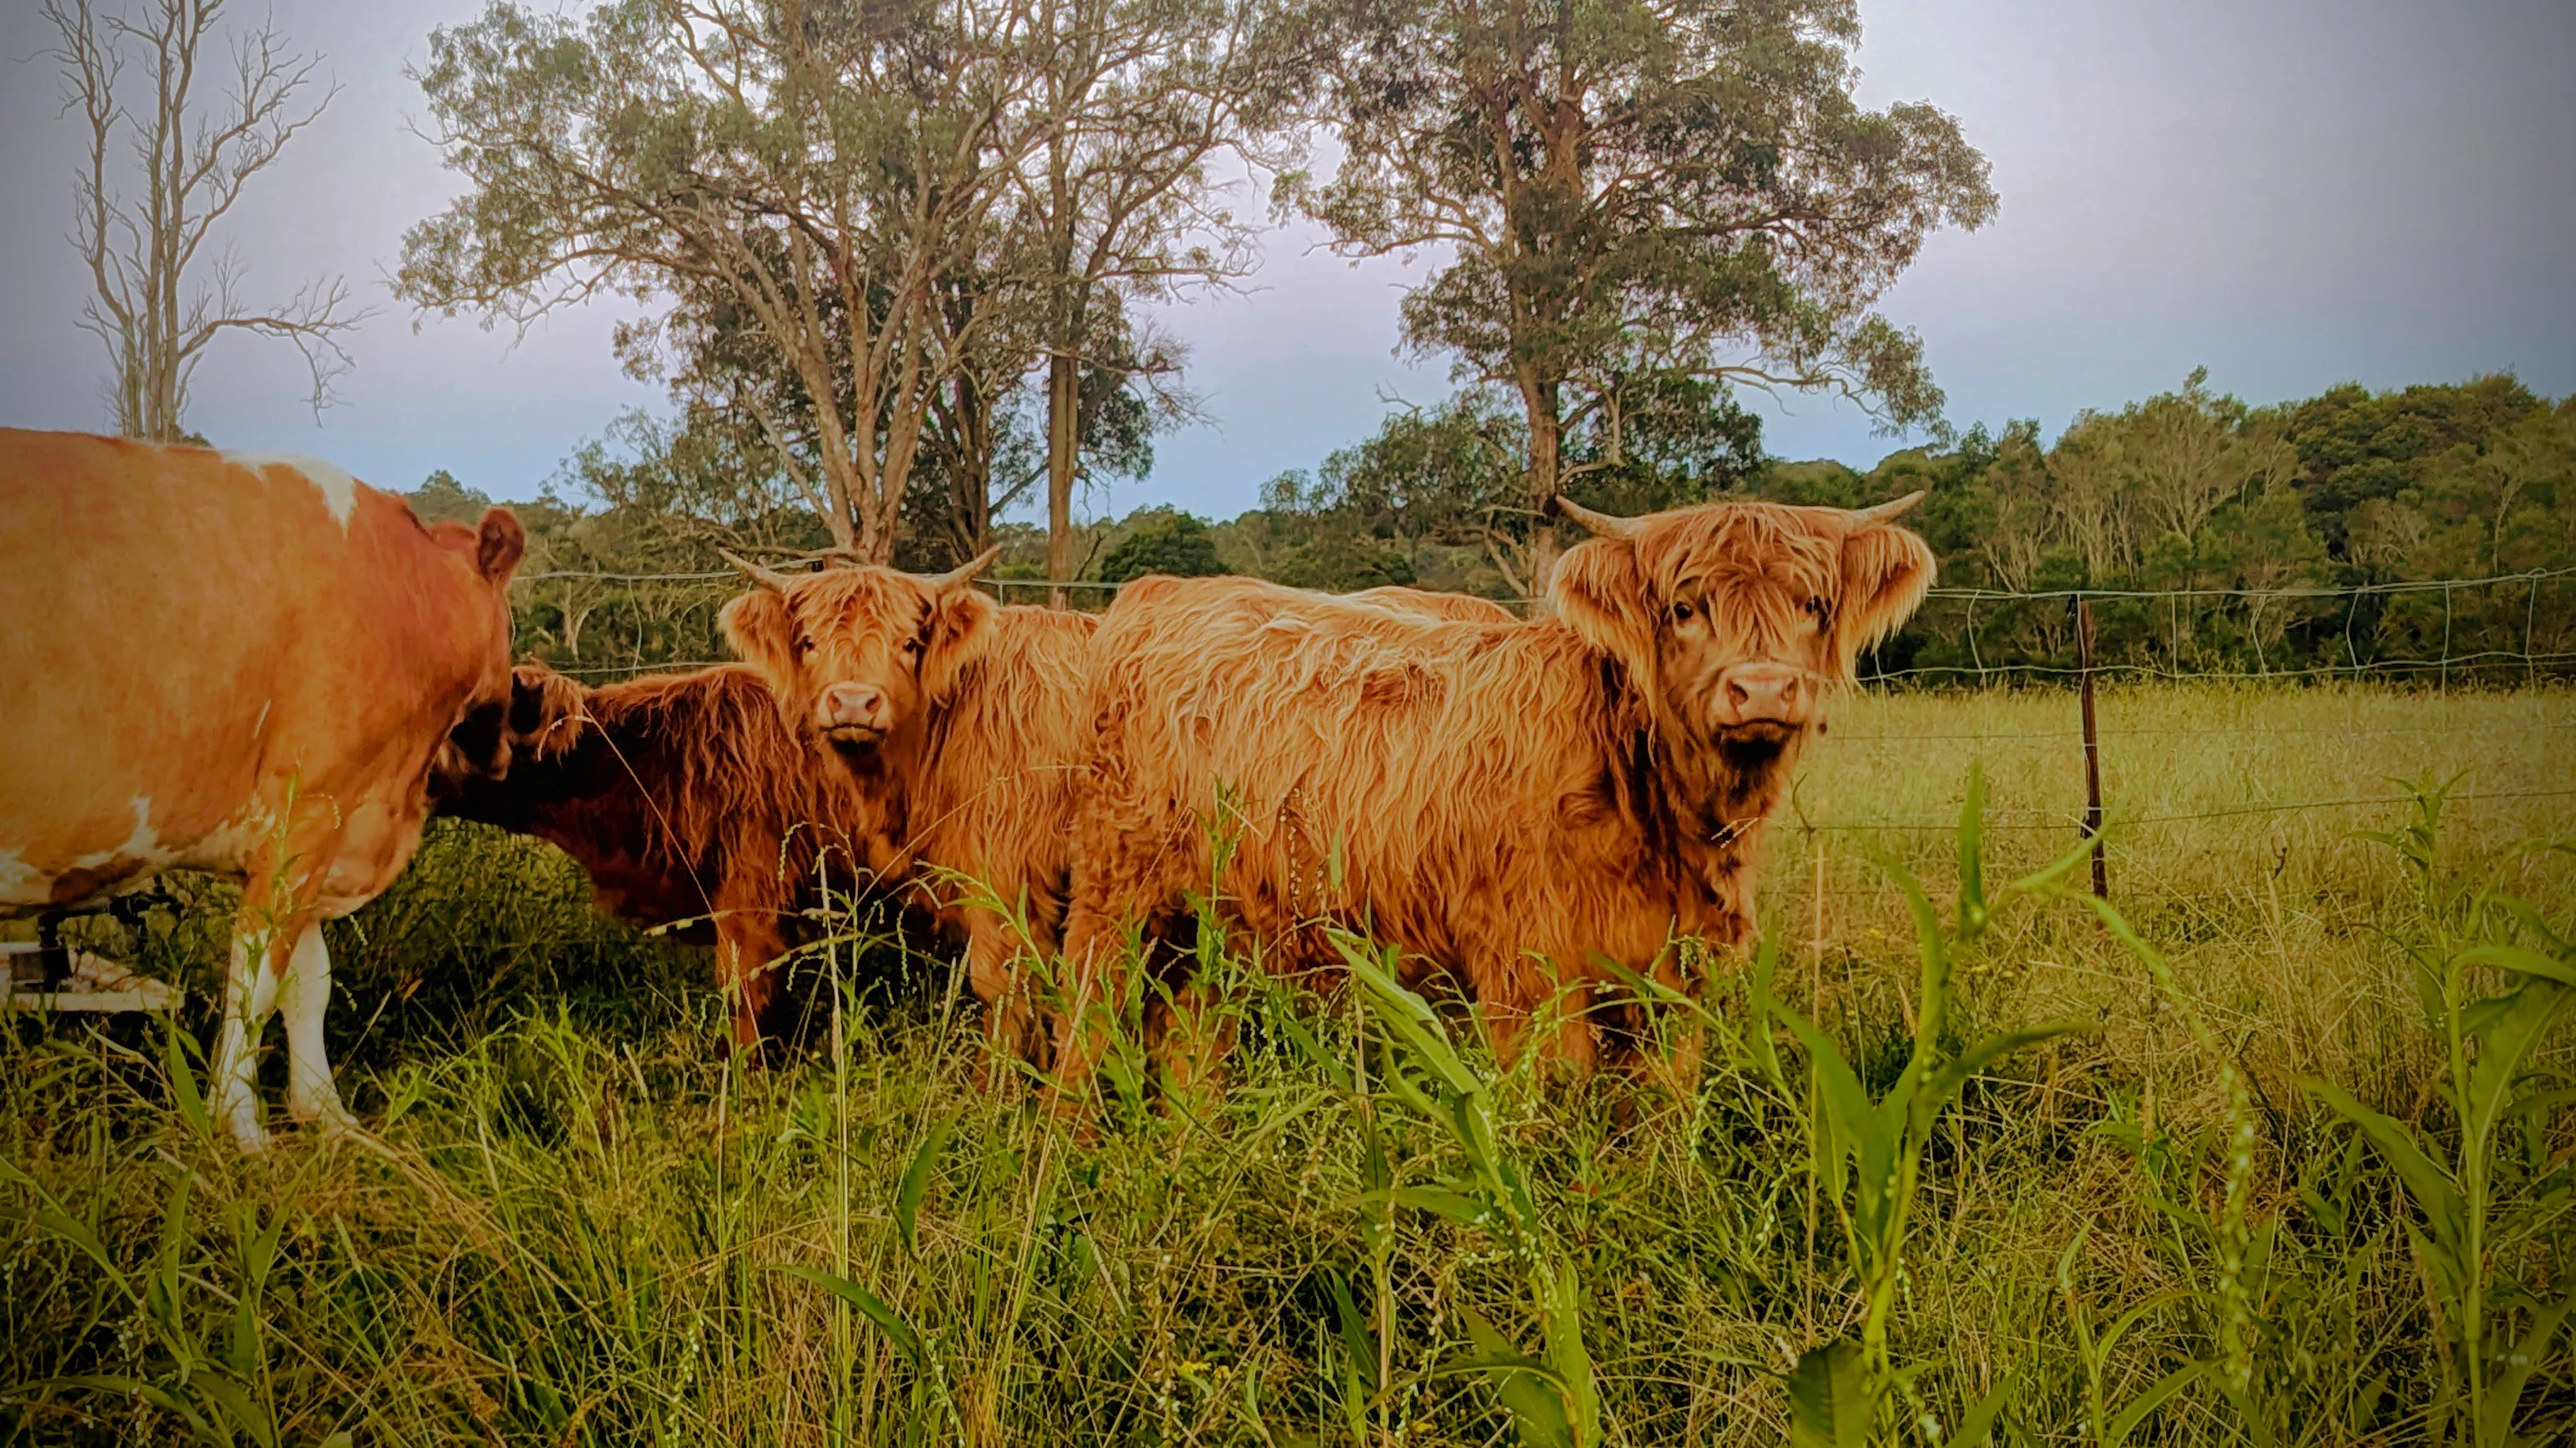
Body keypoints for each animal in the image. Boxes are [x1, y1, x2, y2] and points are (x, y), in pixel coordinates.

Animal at [0, 429, 524, 1149]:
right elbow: (256, 983)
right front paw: (243, 1130)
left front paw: (327, 1115)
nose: (506, 755)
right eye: (514, 624)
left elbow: (309, 983)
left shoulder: (325, 827)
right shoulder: (309, 809)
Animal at [717, 550, 1098, 1068]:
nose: (853, 702)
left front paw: (996, 1079)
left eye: (910, 643)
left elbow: (999, 986)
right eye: (809, 642)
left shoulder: (1004, 873)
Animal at [1049, 493, 1935, 1104]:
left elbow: (1661, 1112)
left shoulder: (1676, 975)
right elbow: (1551, 1104)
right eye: (1684, 608)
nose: (1761, 689)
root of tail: (1157, 592)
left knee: (1189, 1038)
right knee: (1085, 1022)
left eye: (1811, 604)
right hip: (1114, 897)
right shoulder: (1528, 967)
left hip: (1212, 926)